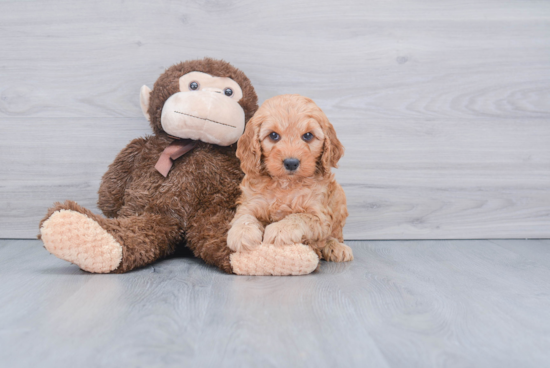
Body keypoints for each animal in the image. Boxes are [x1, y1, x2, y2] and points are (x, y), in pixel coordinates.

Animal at [227, 93, 354, 264]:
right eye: (273, 135)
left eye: (308, 136)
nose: (291, 163)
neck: (285, 184)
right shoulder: (251, 202)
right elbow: (244, 216)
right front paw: (241, 233)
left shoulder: (320, 216)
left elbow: (299, 217)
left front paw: (279, 229)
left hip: (339, 200)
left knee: (334, 235)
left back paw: (336, 247)